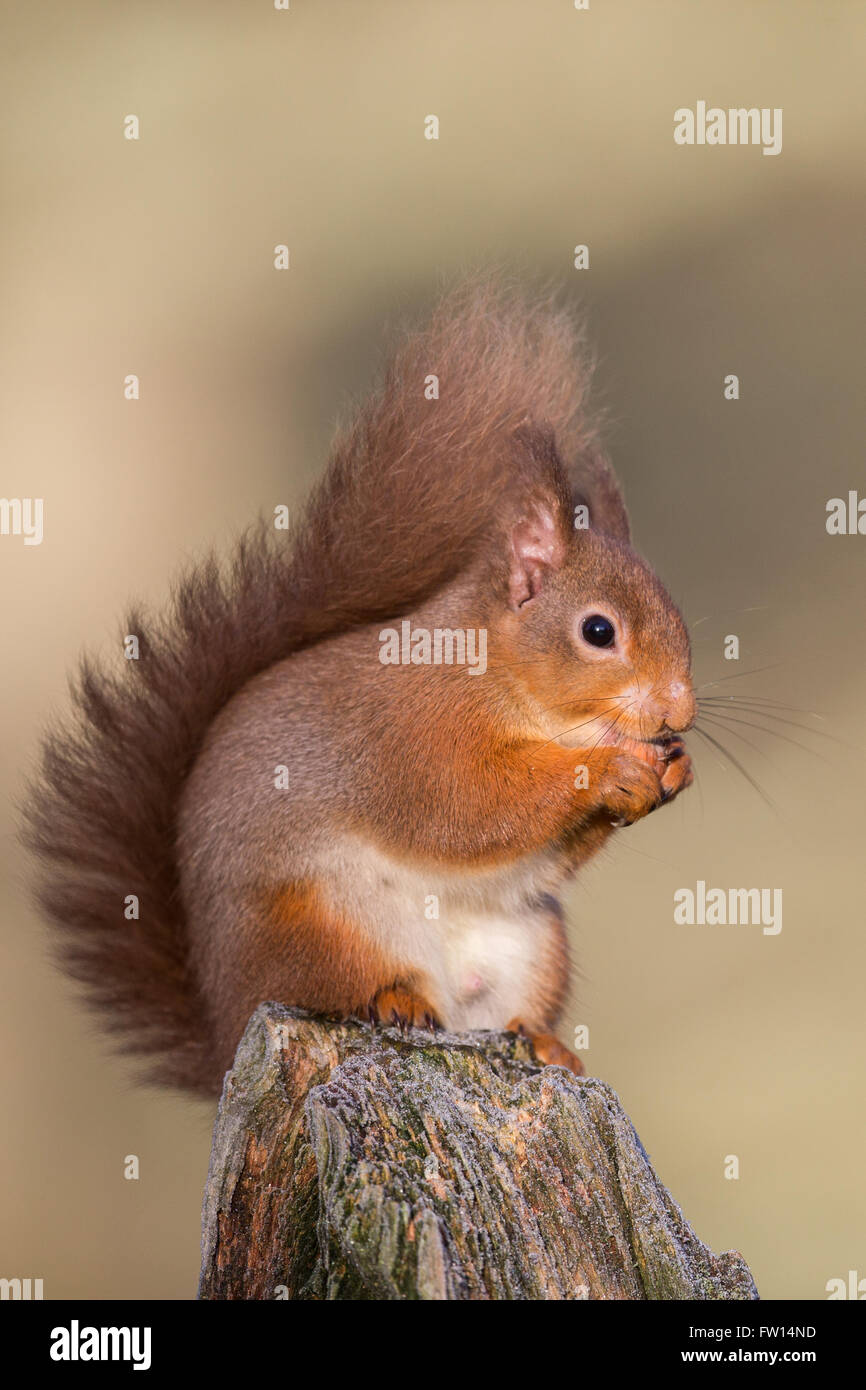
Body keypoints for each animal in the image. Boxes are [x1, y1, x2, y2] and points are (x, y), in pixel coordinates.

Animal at [22, 279, 697, 1095]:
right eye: (598, 631)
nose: (682, 708)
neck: (503, 680)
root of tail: (226, 1025)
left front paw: (673, 769)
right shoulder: (410, 734)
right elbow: (468, 806)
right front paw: (609, 767)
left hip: (535, 945)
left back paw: (541, 1042)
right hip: (321, 927)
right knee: (338, 986)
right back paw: (397, 998)